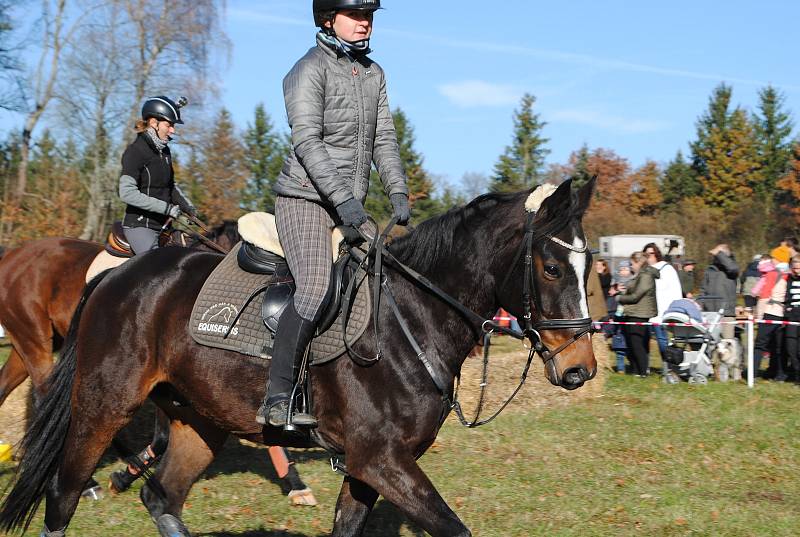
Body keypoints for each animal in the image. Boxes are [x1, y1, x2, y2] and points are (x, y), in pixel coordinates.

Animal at [0, 181, 596, 536]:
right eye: (550, 268)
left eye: (589, 266)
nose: (580, 369)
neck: (411, 317)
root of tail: (115, 276)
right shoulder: (382, 461)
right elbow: (454, 528)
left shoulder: (368, 466)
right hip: (103, 404)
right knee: (63, 493)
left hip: (199, 421)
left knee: (161, 496)